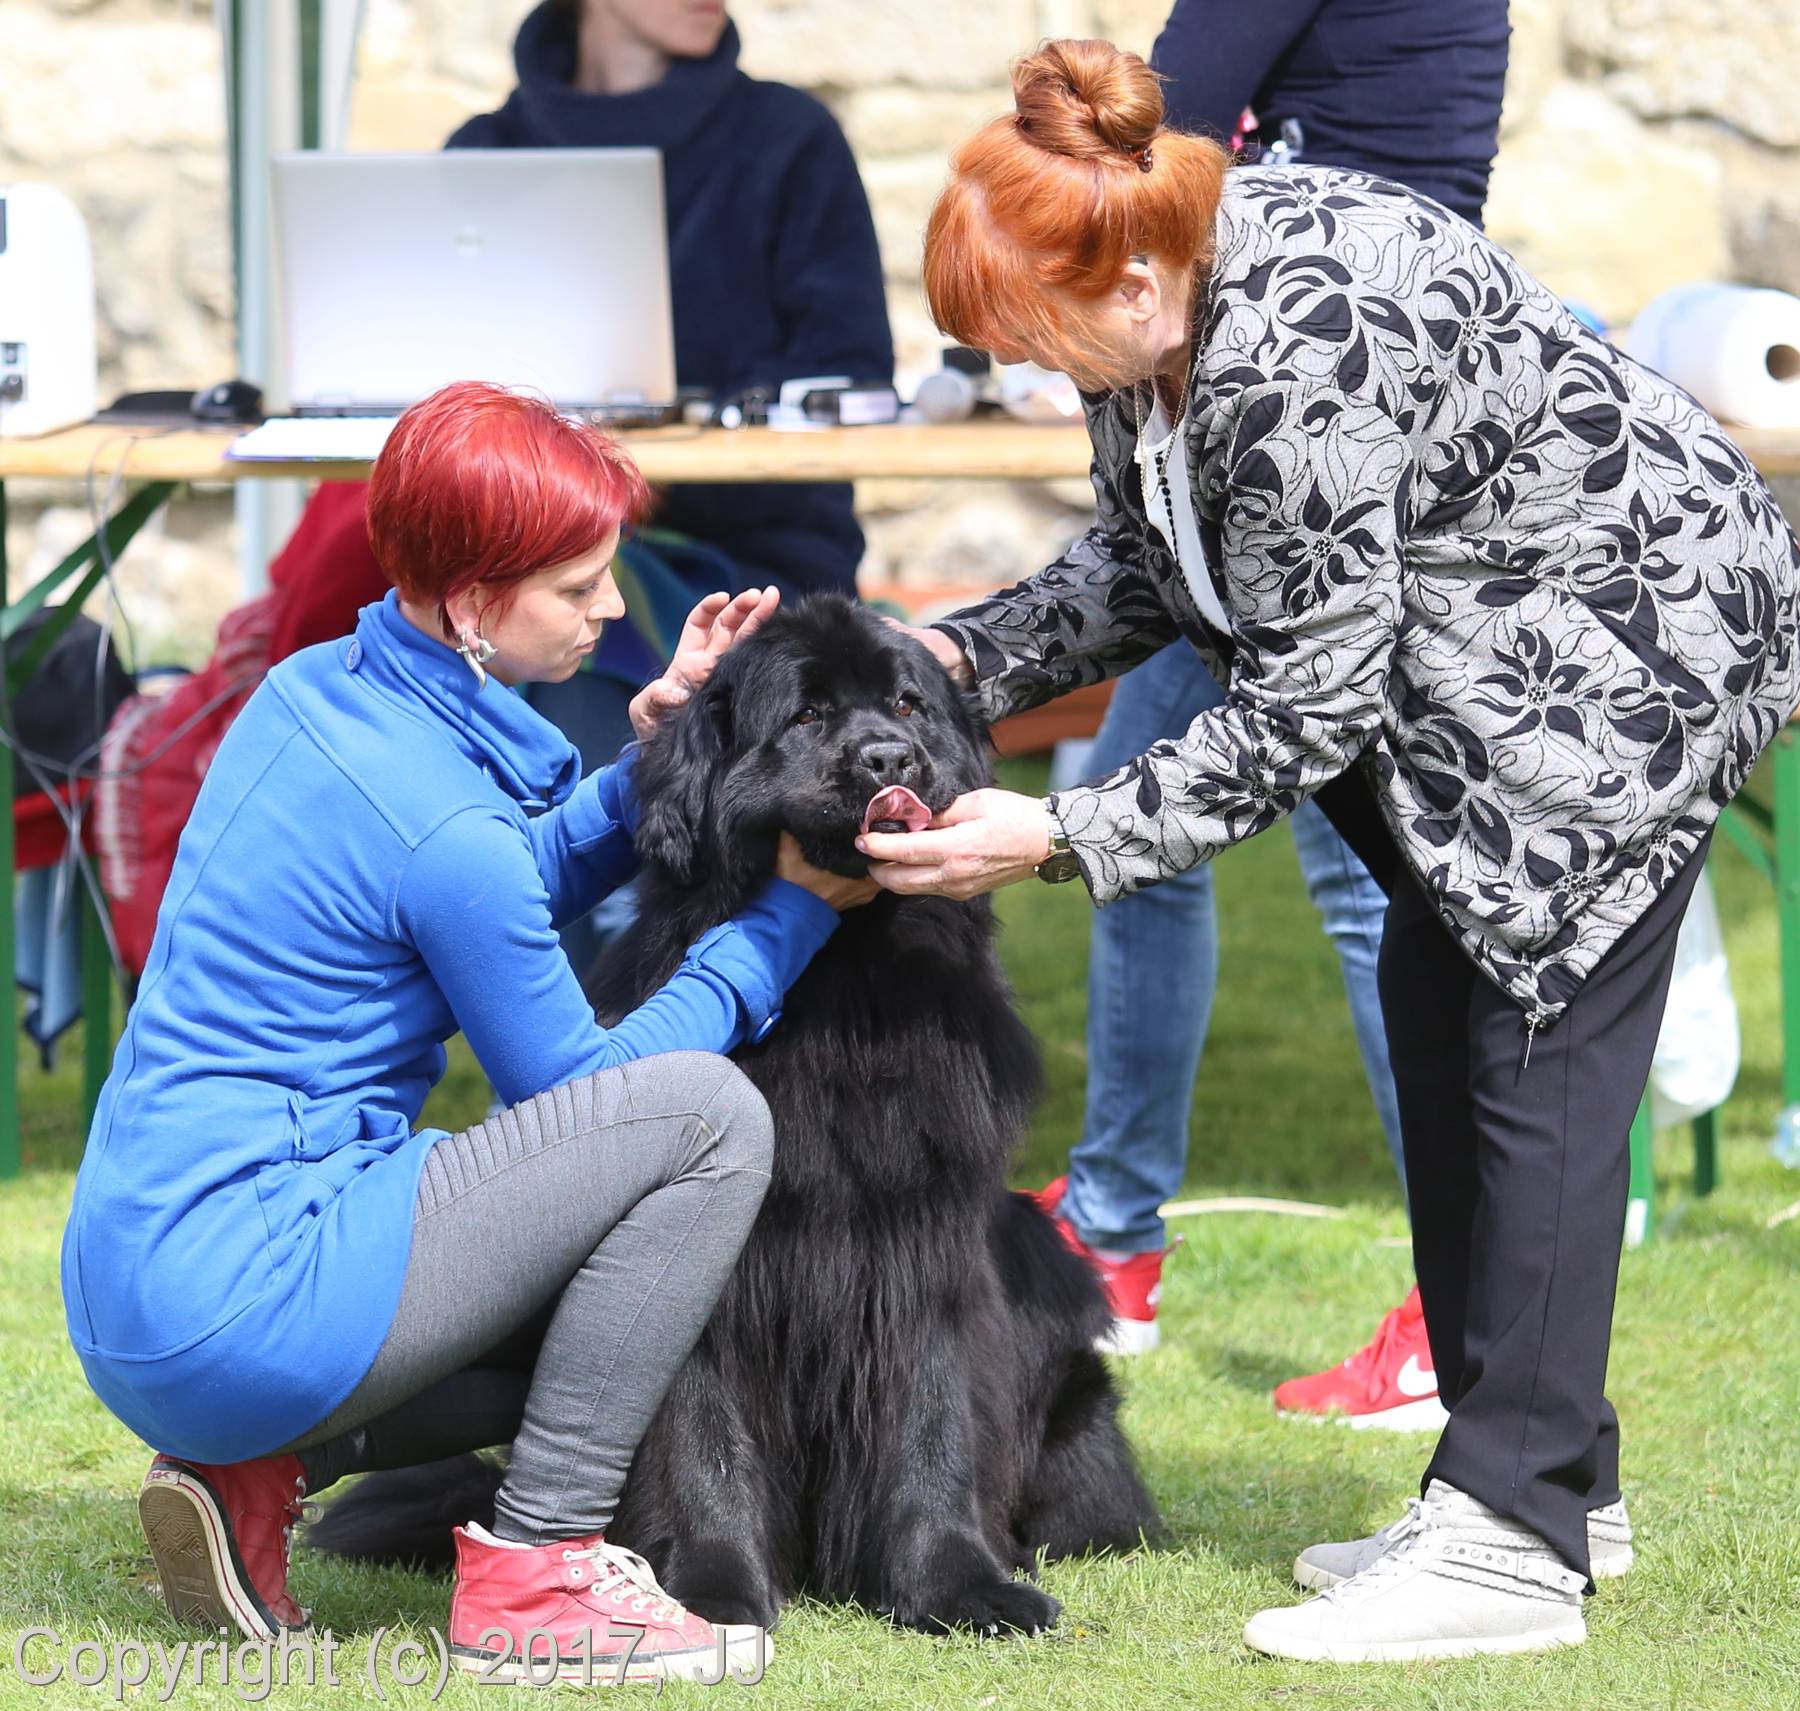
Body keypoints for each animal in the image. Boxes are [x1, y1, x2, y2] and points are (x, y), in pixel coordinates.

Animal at [310, 595, 1160, 1635]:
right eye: (806, 715)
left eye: (908, 705)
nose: (889, 757)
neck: (843, 997)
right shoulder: (713, 1257)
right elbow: (701, 1438)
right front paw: (715, 1591)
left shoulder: (924, 1251)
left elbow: (933, 1419)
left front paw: (960, 1585)